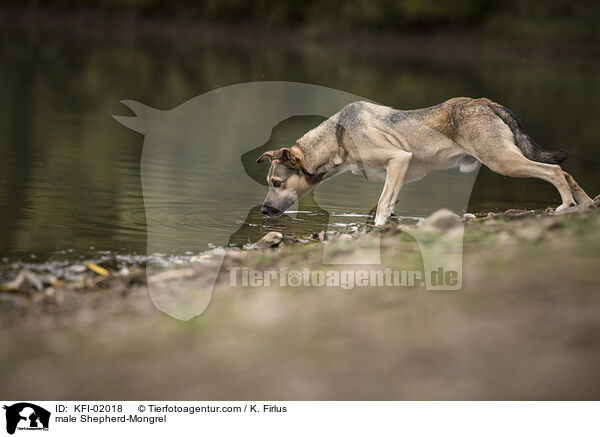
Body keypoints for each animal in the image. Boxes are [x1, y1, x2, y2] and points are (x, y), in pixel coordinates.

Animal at [255, 96, 592, 223]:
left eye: (276, 182)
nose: (264, 211)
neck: (338, 137)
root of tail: (485, 103)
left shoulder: (398, 159)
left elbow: (382, 203)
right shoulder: (398, 172)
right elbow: (390, 202)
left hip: (502, 161)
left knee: (555, 170)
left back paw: (565, 205)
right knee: (568, 174)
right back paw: (587, 204)